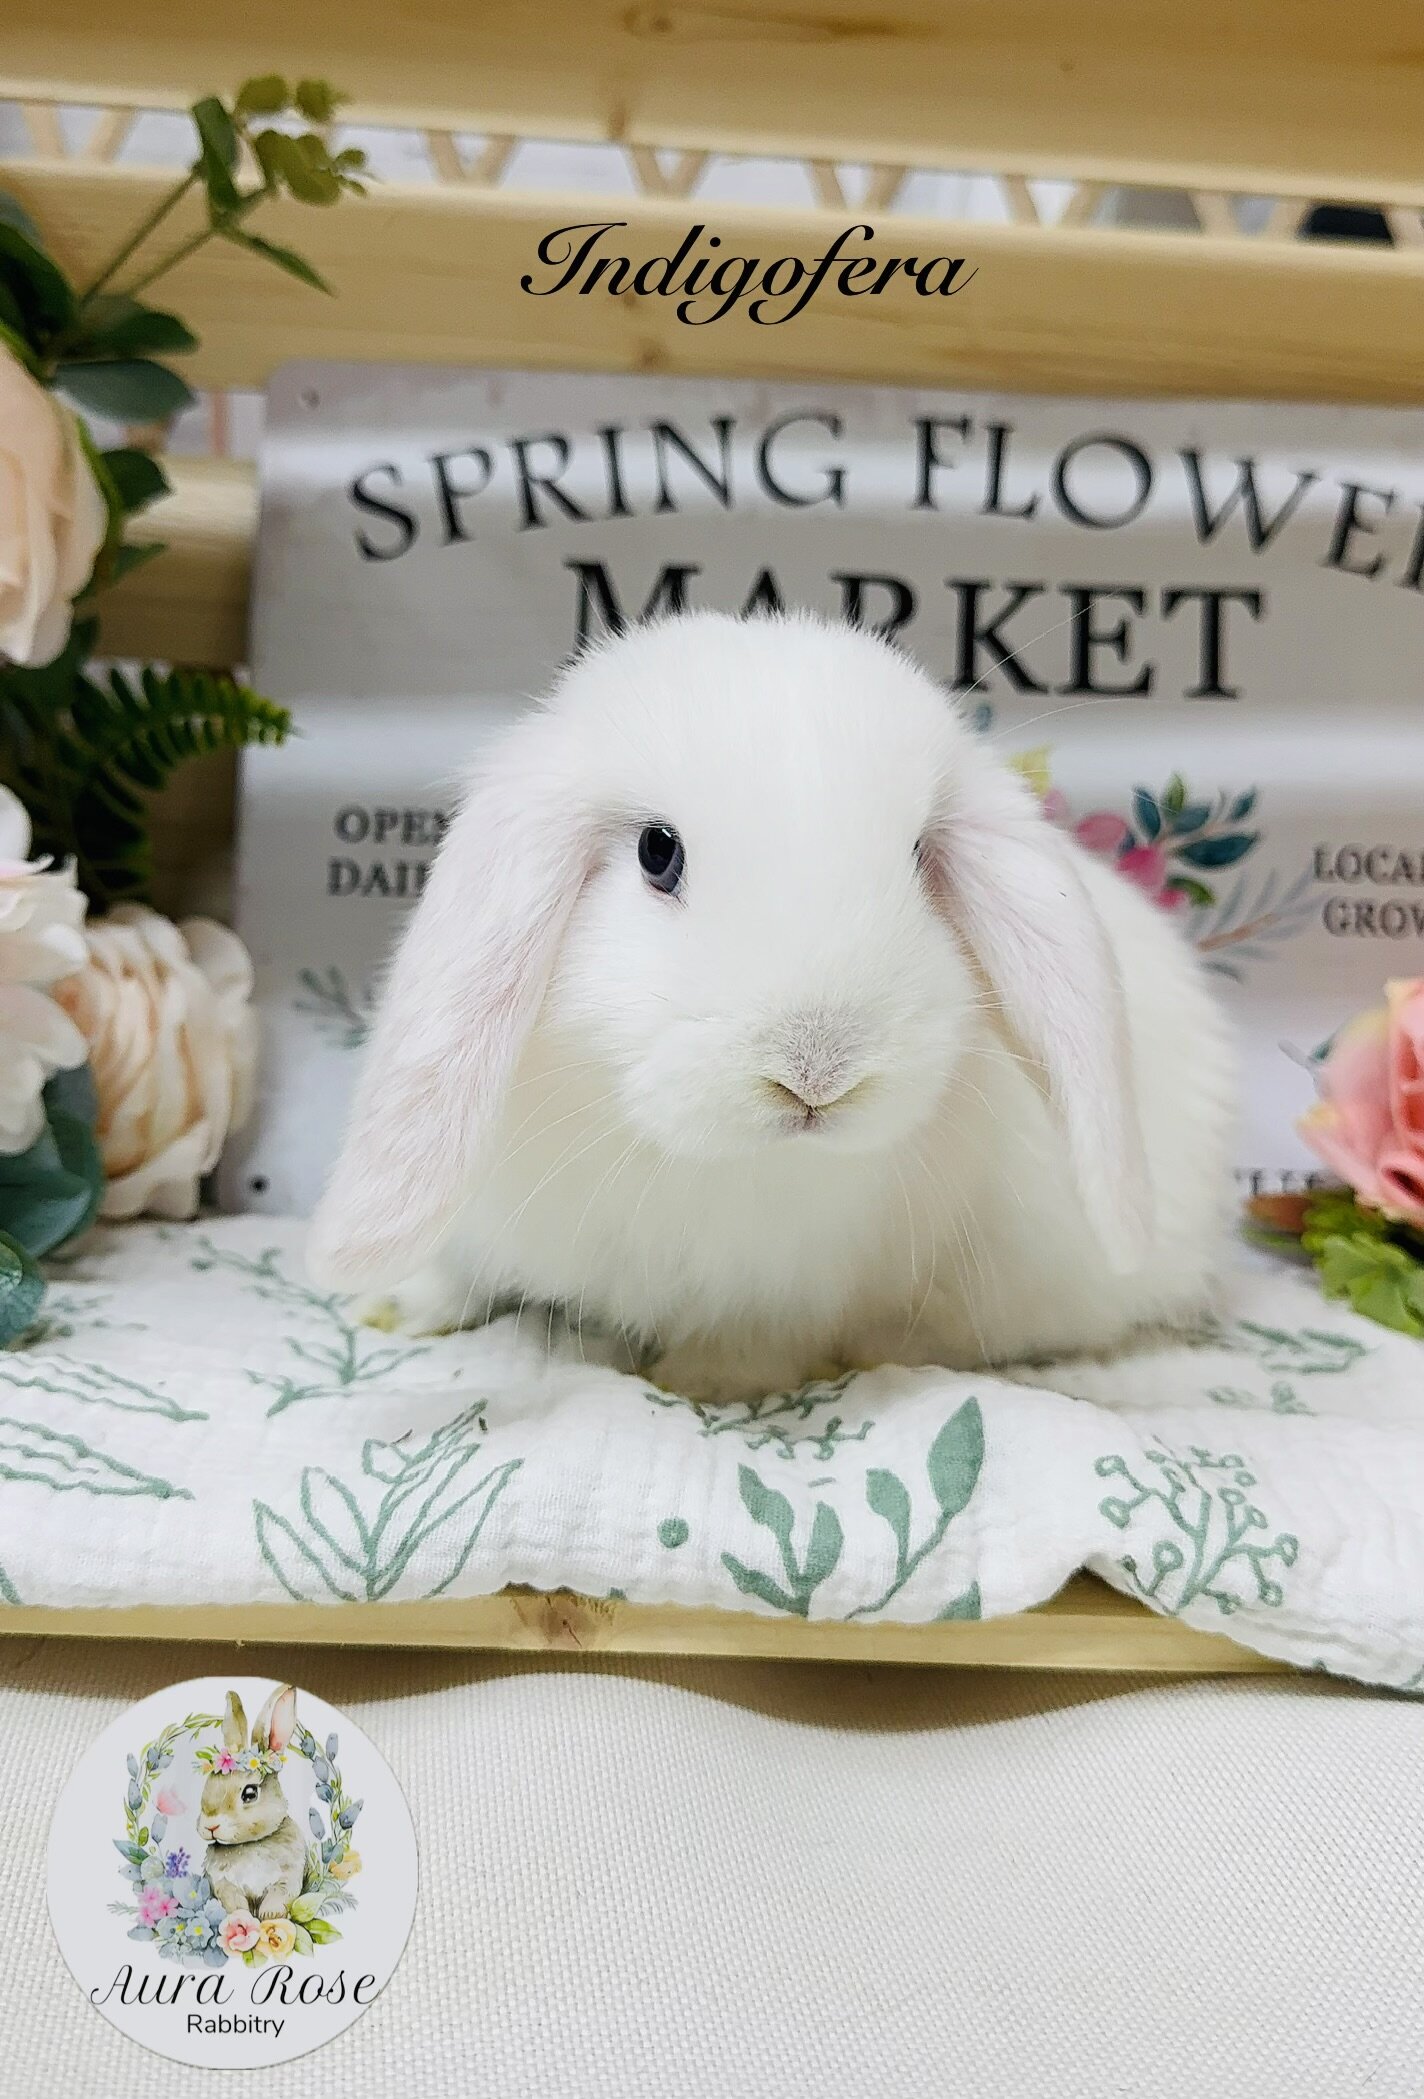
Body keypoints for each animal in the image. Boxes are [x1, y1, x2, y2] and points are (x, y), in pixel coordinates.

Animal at [200, 1685, 307, 1920]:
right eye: (207, 1784)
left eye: (249, 1793)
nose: (210, 1826)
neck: (250, 1843)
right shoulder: (225, 1884)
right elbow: (235, 1904)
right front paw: (243, 1919)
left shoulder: (287, 1878)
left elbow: (278, 1898)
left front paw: (269, 1917)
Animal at [308, 611, 1235, 1401]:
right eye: (657, 852)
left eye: (918, 856)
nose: (817, 1074)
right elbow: (454, 1269)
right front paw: (388, 1306)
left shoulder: (795, 1283)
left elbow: (761, 1335)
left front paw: (706, 1382)